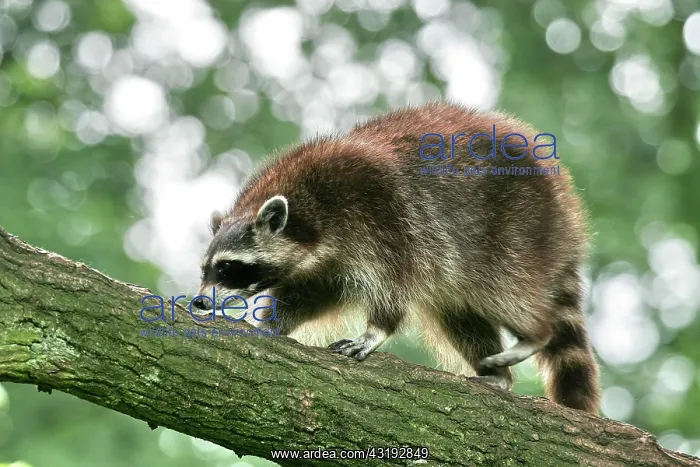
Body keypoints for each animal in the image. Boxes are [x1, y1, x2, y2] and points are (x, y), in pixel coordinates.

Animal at [193, 101, 601, 414]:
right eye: (206, 268)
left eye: (228, 267)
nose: (198, 301)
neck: (306, 216)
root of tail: (562, 205)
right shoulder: (322, 264)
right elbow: (308, 295)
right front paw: (272, 324)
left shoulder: (381, 218)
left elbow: (391, 285)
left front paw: (377, 329)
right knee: (462, 318)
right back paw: (497, 374)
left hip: (515, 229)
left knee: (505, 291)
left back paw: (535, 331)